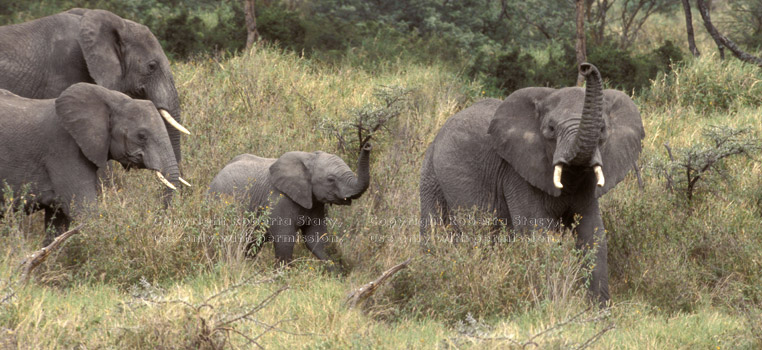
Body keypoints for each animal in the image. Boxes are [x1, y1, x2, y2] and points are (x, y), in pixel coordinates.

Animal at [209, 144, 372, 266]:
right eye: (330, 179)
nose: (368, 146)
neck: (308, 158)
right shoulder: (279, 200)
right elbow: (285, 240)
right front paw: (283, 278)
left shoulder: (315, 203)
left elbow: (316, 240)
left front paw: (337, 274)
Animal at [418, 64, 644, 304]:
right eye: (551, 129)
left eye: (602, 130)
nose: (585, 67)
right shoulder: (516, 172)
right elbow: (537, 233)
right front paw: (550, 302)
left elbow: (593, 234)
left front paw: (597, 308)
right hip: (431, 173)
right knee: (435, 229)